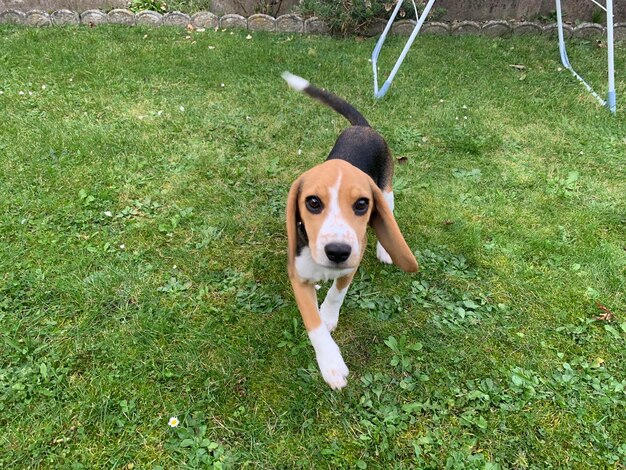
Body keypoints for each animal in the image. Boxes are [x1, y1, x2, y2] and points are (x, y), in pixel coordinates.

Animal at [282, 72, 420, 390]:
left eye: (361, 204)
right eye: (312, 202)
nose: (337, 251)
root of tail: (363, 128)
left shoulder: (351, 265)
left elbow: (336, 294)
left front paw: (329, 316)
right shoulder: (297, 275)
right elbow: (313, 323)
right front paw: (330, 362)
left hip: (386, 190)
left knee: (389, 213)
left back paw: (384, 249)